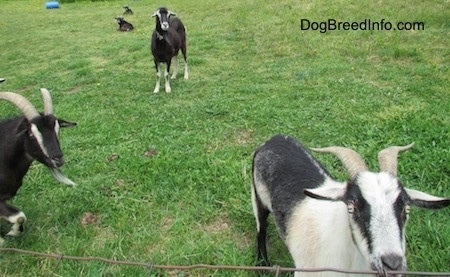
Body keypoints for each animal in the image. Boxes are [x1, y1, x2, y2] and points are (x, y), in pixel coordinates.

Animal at [253, 134, 450, 274]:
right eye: (352, 207)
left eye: (406, 208)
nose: (392, 263)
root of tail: (275, 139)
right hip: (258, 197)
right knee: (261, 228)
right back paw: (263, 265)